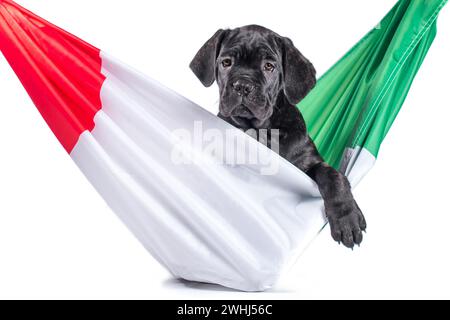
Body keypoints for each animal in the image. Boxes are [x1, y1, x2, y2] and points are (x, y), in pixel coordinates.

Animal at [190, 25, 366, 250]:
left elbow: (333, 175)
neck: (260, 130)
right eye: (226, 62)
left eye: (269, 66)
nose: (242, 85)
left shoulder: (309, 162)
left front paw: (346, 219)